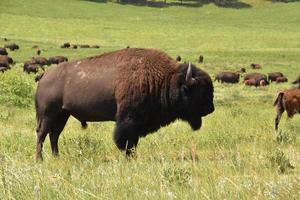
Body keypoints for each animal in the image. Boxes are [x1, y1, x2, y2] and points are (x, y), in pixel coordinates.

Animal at [34, 47, 214, 160]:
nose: (211, 109)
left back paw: (57, 157)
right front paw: (130, 158)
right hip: (48, 114)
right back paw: (39, 159)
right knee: (42, 134)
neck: (165, 79)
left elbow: (133, 142)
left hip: (63, 114)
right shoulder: (128, 121)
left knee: (54, 135)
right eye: (199, 91)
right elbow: (126, 142)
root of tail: (44, 76)